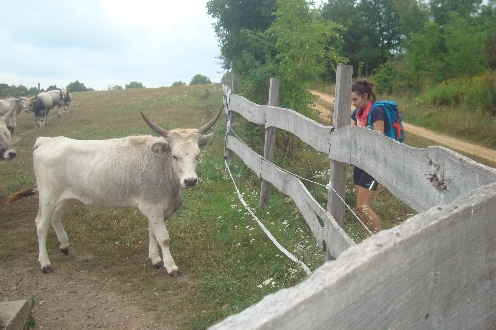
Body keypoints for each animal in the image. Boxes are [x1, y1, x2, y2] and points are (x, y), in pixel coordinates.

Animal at [6, 106, 224, 276]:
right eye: (175, 156)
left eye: (197, 155)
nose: (190, 180)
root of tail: (47, 141)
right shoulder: (153, 206)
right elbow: (163, 237)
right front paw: (171, 267)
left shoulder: (152, 208)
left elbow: (151, 233)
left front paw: (155, 260)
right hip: (48, 196)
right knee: (41, 224)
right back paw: (45, 263)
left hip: (65, 197)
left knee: (55, 217)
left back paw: (65, 246)